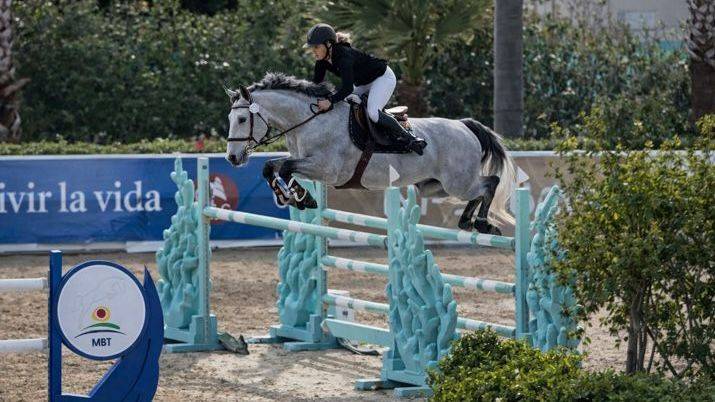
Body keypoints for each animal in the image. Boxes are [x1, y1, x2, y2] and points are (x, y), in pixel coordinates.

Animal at [225, 72, 516, 234]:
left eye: (241, 119)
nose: (232, 158)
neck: (309, 121)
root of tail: (465, 125)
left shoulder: (327, 170)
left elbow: (285, 168)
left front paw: (298, 197)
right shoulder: (307, 163)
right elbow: (272, 167)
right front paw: (297, 197)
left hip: (457, 183)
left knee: (489, 183)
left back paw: (482, 224)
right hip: (434, 186)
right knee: (479, 189)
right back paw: (467, 222)